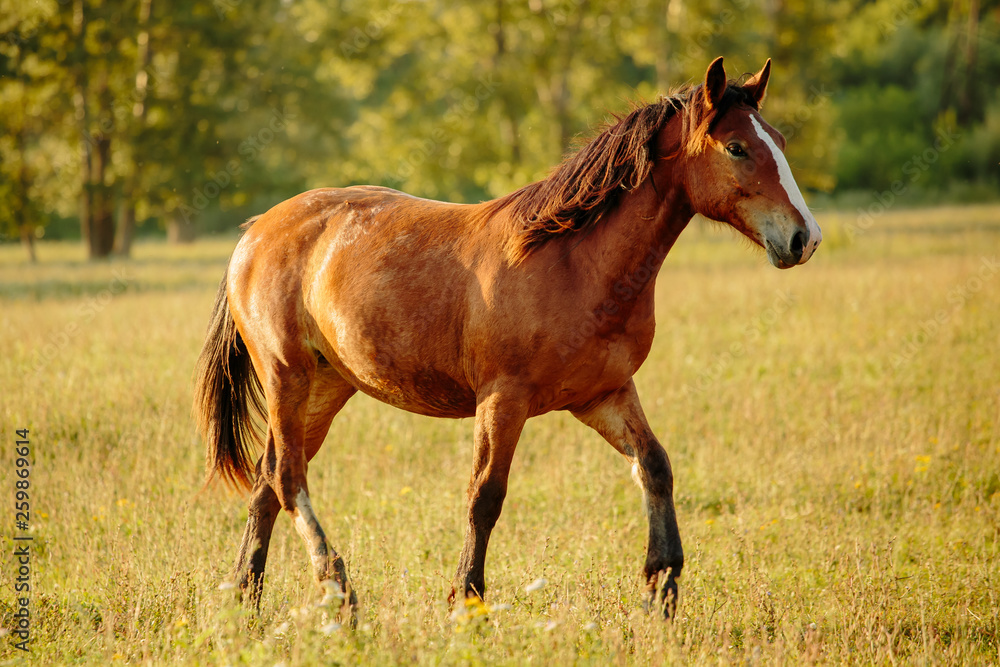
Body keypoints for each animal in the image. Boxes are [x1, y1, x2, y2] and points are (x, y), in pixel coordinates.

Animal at [193, 56, 821, 622]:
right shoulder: (503, 400)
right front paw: (467, 602)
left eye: (779, 139)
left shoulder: (604, 395)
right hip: (287, 376)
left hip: (327, 387)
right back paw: (337, 590)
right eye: (737, 147)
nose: (804, 238)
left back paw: (245, 598)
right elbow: (485, 498)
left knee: (267, 481)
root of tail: (256, 231)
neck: (574, 262)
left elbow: (655, 466)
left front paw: (660, 590)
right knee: (287, 477)